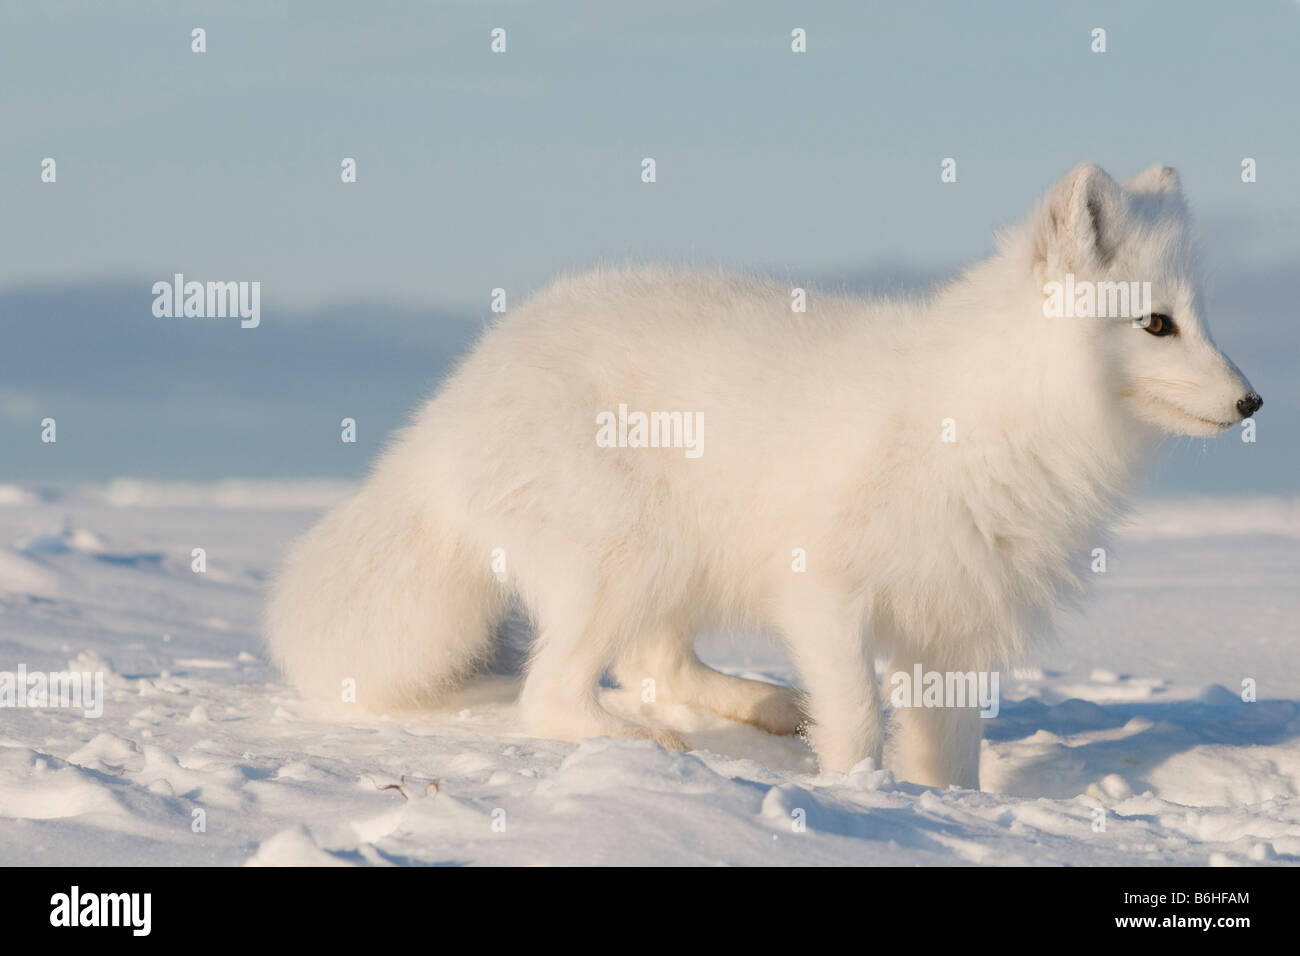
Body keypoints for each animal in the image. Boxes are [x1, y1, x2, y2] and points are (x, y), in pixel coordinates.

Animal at [266, 164, 1258, 790]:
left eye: (1202, 318)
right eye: (1156, 324)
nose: (1252, 402)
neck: (994, 415)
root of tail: (446, 409)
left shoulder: (955, 622)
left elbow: (950, 756)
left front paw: (951, 812)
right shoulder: (823, 591)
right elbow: (858, 720)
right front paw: (857, 796)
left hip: (670, 566)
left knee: (654, 662)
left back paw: (766, 707)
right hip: (627, 554)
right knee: (557, 694)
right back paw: (652, 744)